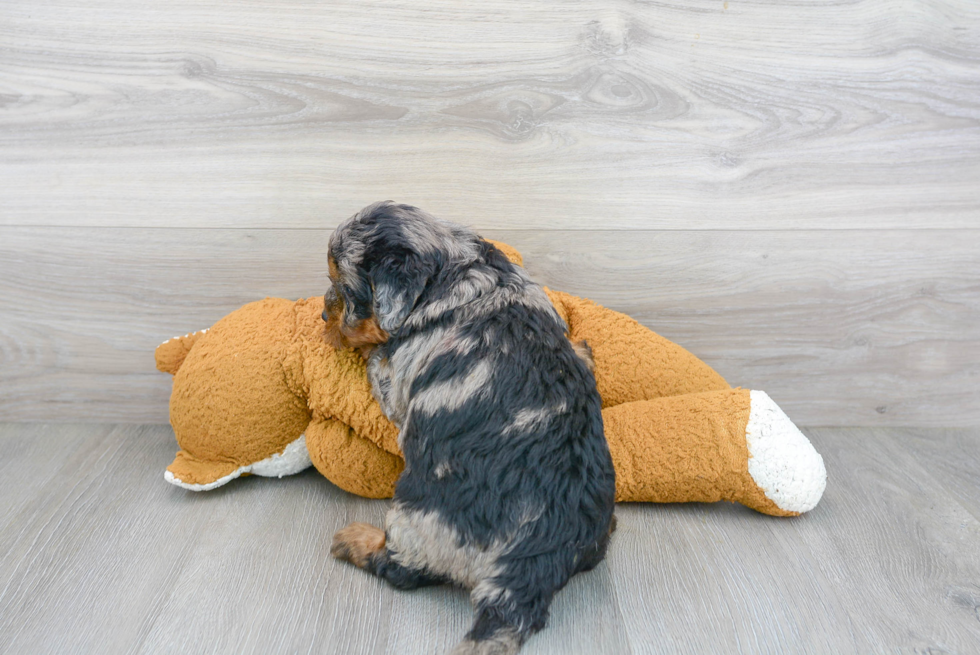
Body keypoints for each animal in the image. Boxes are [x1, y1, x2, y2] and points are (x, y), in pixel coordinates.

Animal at [324, 202, 612, 652]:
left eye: (345, 288)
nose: (323, 312)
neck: (455, 268)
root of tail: (528, 571)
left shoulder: (398, 386)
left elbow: (381, 365)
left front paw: (372, 352)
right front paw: (582, 349)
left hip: (417, 517)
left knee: (403, 570)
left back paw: (356, 540)